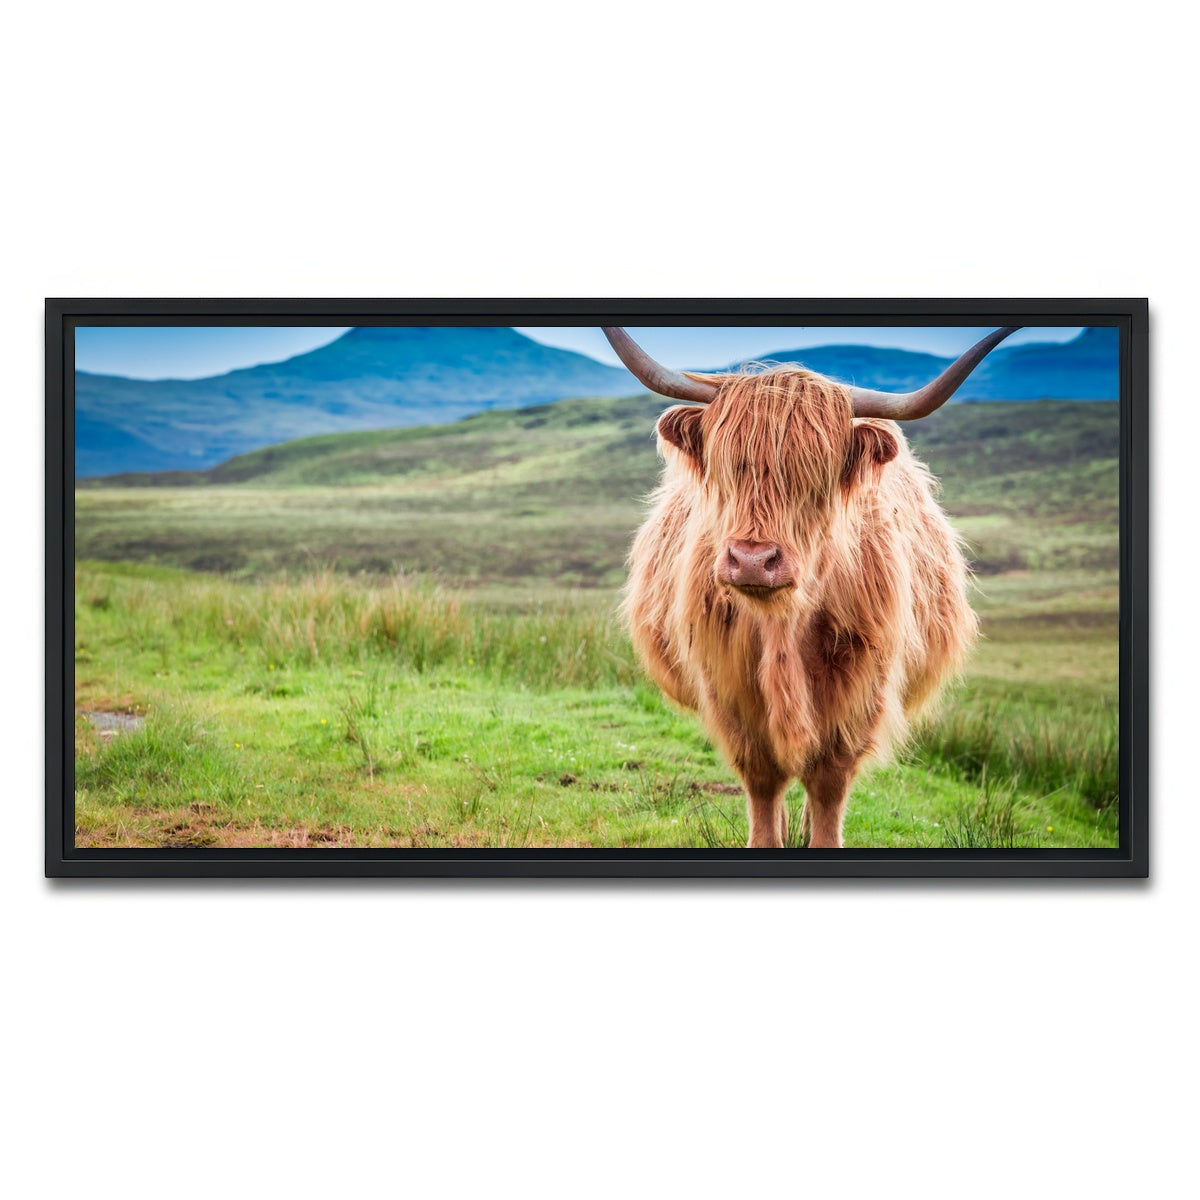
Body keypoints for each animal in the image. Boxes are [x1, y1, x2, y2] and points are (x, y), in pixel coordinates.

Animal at [605, 325, 1018, 848]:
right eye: (727, 467)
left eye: (816, 477)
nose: (753, 560)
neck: (782, 626)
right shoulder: (727, 689)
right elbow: (762, 780)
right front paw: (768, 836)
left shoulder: (860, 693)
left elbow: (828, 783)